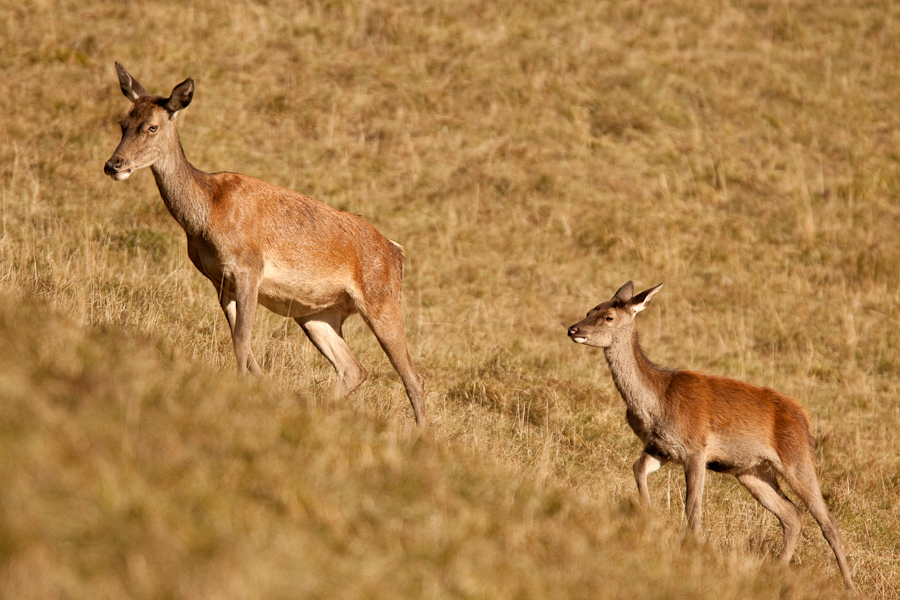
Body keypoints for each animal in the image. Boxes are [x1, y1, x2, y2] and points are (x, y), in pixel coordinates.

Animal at [103, 62, 428, 422]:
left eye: (152, 127)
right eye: (122, 123)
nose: (113, 165)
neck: (205, 216)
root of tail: (397, 251)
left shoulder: (249, 267)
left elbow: (242, 341)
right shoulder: (220, 281)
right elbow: (241, 344)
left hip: (382, 299)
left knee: (412, 376)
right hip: (318, 313)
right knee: (353, 368)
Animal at [568, 282, 856, 592]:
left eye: (608, 317)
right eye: (590, 310)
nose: (573, 329)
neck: (656, 403)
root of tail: (805, 418)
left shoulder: (696, 447)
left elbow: (692, 506)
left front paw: (691, 546)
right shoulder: (660, 447)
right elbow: (638, 469)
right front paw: (648, 515)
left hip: (796, 458)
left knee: (827, 521)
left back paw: (849, 585)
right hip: (752, 471)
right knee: (792, 514)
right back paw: (776, 569)